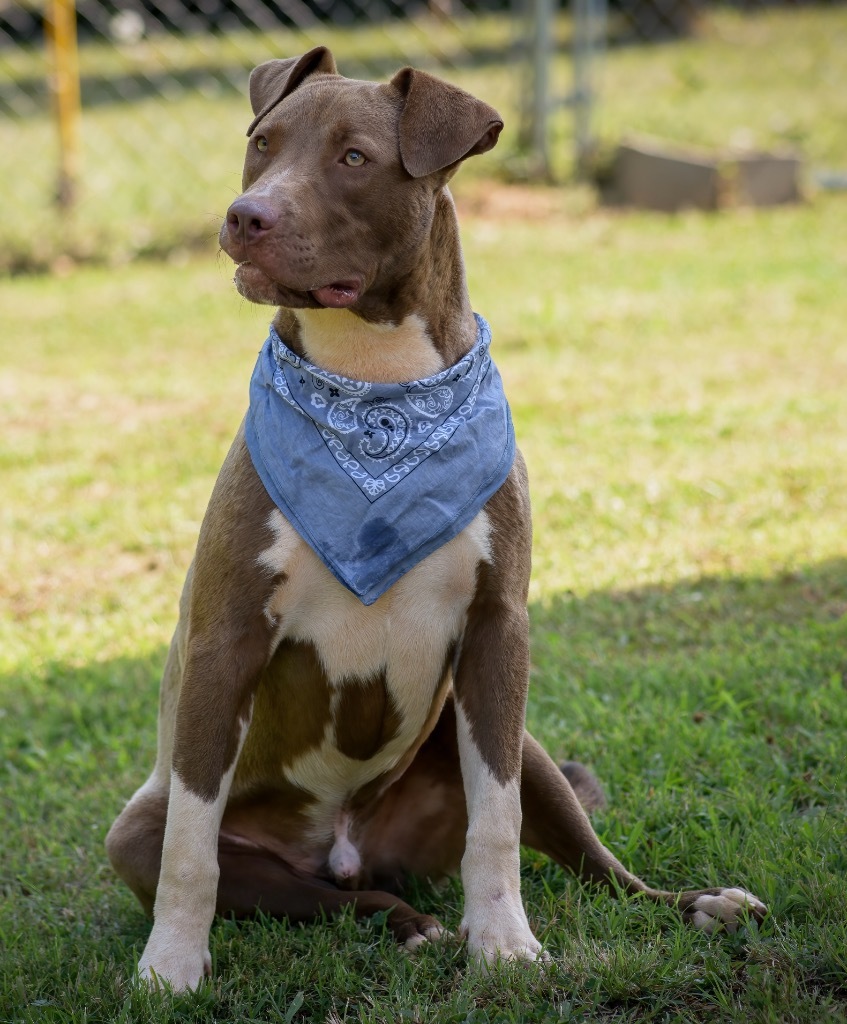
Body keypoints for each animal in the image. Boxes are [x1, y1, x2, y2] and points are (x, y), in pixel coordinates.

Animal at [106, 48, 770, 991]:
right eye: (263, 143)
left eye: (353, 157)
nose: (246, 215)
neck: (376, 389)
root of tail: (347, 849)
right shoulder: (222, 642)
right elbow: (190, 847)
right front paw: (169, 967)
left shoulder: (497, 634)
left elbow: (496, 826)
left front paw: (506, 945)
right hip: (147, 830)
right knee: (329, 897)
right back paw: (413, 928)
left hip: (529, 750)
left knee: (596, 866)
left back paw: (696, 904)